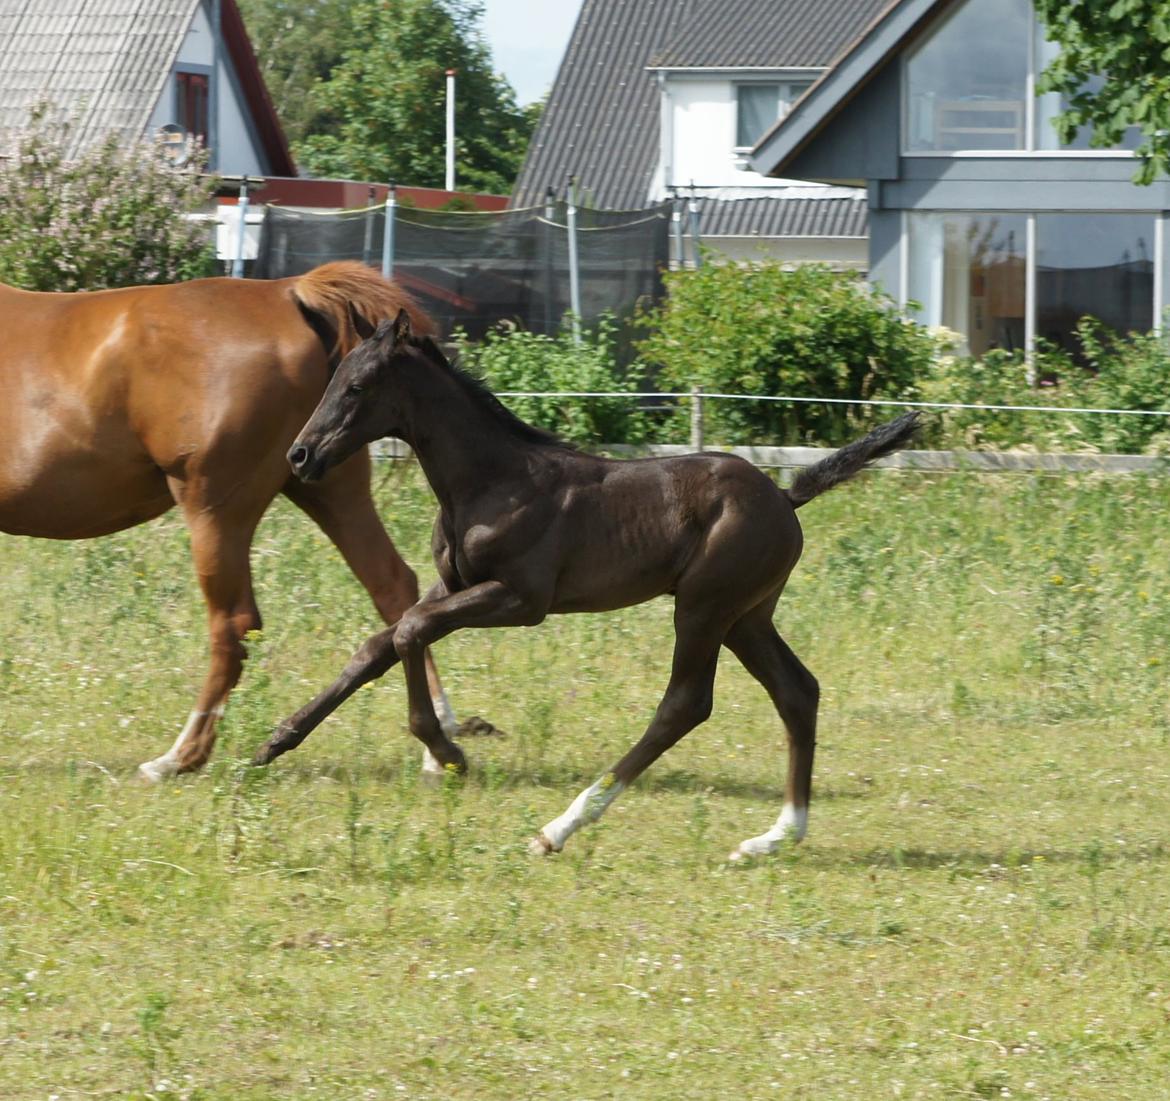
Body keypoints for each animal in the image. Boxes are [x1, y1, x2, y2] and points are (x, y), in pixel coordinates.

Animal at [1, 262, 465, 776]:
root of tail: (287, 293)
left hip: (214, 512)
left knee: (234, 625)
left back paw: (179, 756)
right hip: (328, 486)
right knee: (394, 589)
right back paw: (438, 746)